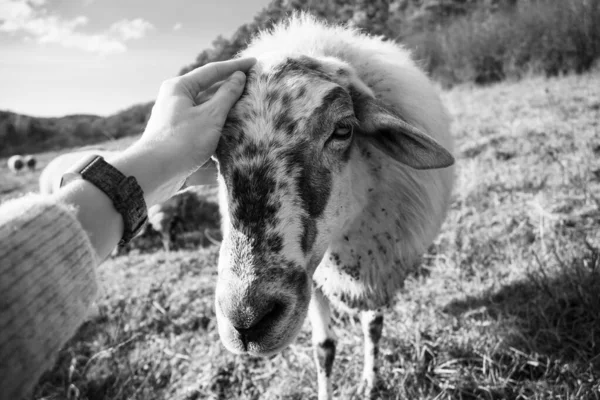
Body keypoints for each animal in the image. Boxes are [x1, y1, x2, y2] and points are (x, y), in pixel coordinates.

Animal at [211, 14, 454, 398]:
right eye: (213, 152)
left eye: (342, 130)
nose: (247, 321)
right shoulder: (316, 278)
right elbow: (324, 348)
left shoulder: (376, 262)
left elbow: (373, 326)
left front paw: (370, 381)